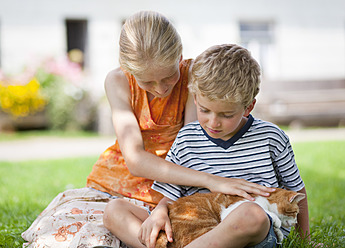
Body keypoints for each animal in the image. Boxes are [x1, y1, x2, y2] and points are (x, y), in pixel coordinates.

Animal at [155, 187, 302, 247]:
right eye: (295, 213)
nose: (295, 221)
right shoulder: (232, 208)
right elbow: (263, 209)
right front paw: (276, 221)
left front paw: (279, 234)